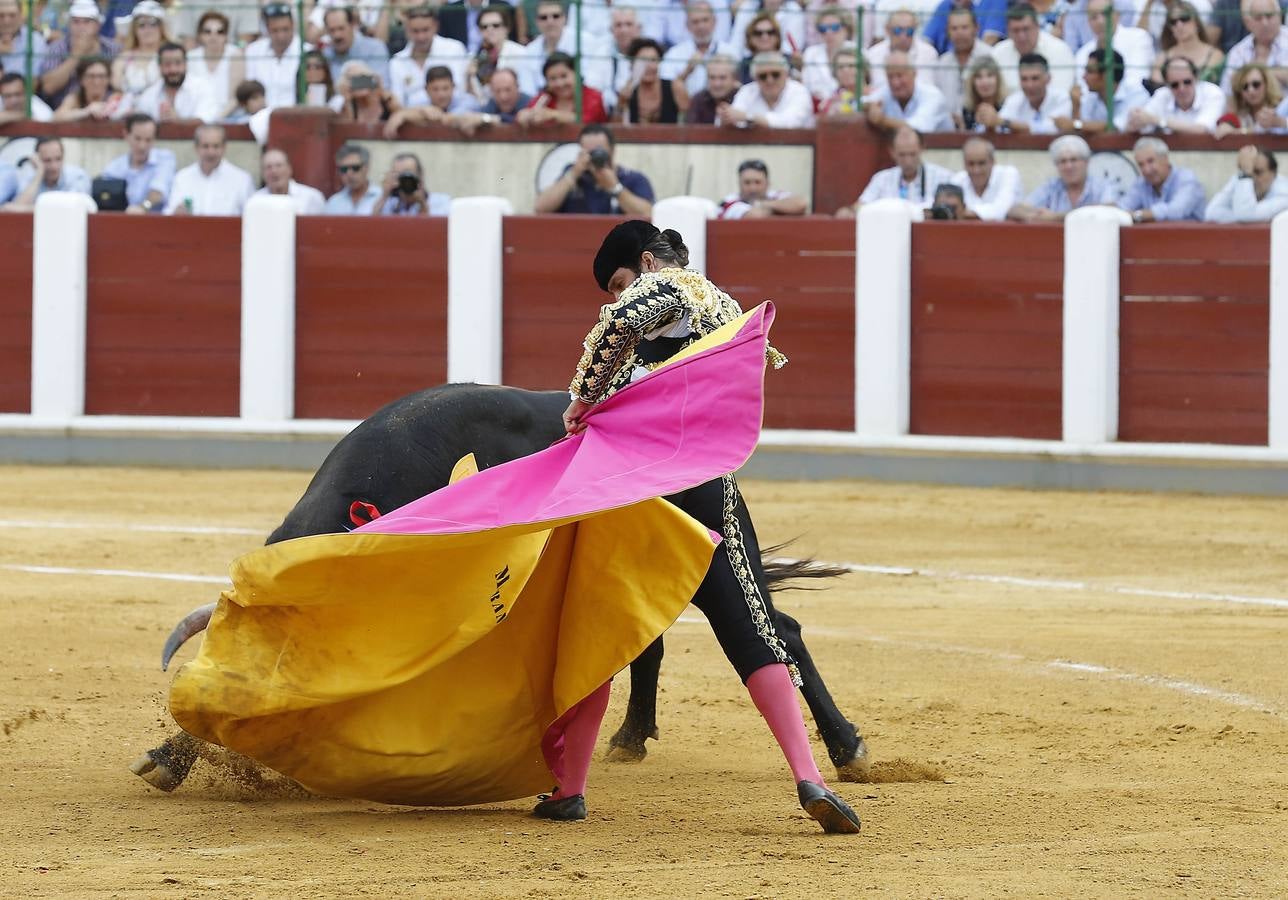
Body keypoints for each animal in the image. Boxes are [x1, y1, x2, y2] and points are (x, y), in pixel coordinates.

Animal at [135, 383, 870, 793]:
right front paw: (170, 756)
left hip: (718, 551)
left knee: (775, 632)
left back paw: (849, 750)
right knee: (651, 641)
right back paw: (629, 738)